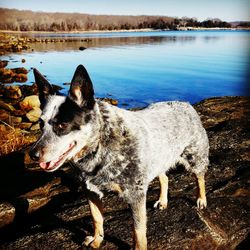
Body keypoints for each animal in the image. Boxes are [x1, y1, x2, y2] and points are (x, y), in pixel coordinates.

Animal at [29, 65, 209, 250]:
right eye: (41, 124)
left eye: (62, 125)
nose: (33, 154)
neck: (100, 144)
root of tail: (185, 104)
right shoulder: (90, 191)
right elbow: (96, 218)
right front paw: (97, 239)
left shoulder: (135, 195)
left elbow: (138, 231)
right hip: (158, 158)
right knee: (164, 178)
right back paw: (162, 201)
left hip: (195, 156)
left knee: (200, 178)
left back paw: (201, 200)